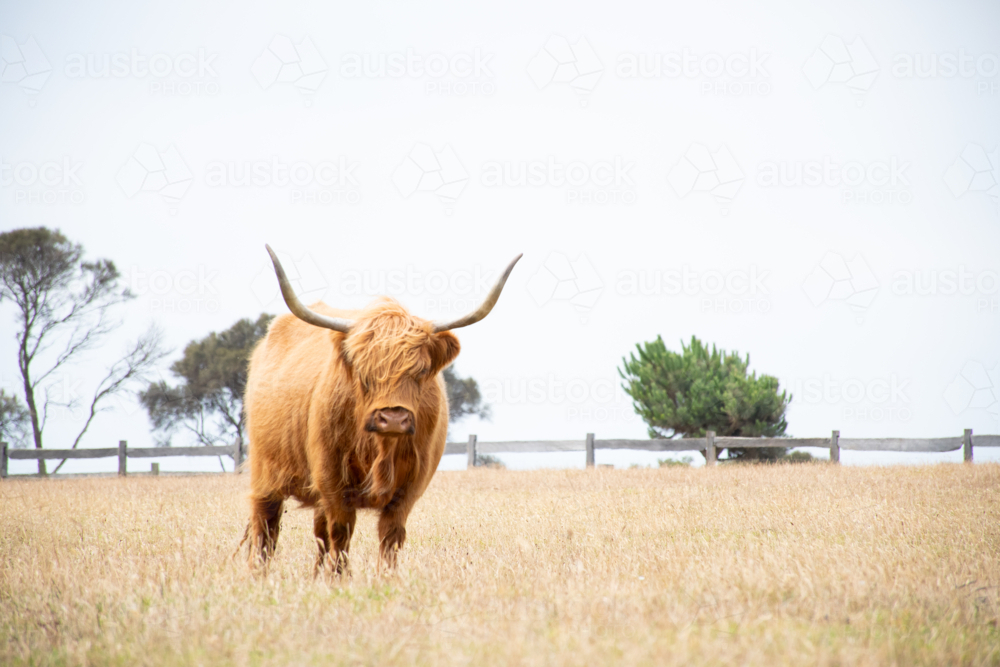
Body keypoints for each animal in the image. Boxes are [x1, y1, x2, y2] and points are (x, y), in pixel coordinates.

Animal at [240, 245, 520, 574]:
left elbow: (390, 537)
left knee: (317, 533)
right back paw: (258, 573)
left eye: (420, 371)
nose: (393, 418)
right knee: (266, 527)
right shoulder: (331, 479)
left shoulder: (409, 488)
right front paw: (340, 579)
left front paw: (385, 577)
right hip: (265, 471)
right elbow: (341, 534)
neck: (381, 449)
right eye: (364, 373)